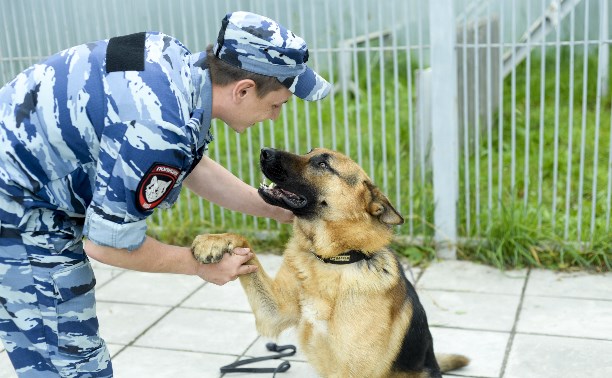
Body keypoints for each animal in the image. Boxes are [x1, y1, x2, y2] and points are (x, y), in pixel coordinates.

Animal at [192, 148, 468, 378]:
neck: (333, 261)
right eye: (309, 152)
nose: (264, 151)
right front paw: (214, 241)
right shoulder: (274, 313)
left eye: (323, 163)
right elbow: (244, 243)